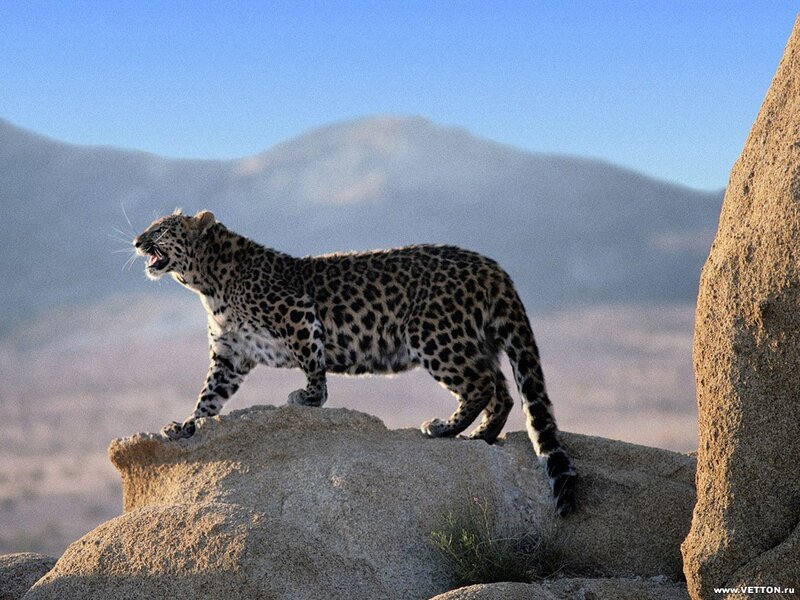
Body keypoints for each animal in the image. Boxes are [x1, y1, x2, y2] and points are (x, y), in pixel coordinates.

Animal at [133, 209, 577, 515]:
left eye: (161, 229)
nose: (137, 240)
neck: (208, 284)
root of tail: (493, 266)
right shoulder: (230, 355)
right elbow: (208, 398)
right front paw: (185, 427)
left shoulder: (298, 314)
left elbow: (312, 362)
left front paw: (309, 398)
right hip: (473, 340)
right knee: (502, 390)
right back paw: (479, 436)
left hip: (435, 335)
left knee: (483, 384)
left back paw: (443, 428)